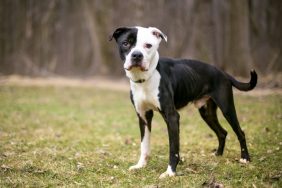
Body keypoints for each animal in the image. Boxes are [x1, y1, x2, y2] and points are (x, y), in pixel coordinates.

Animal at [109, 26, 258, 178]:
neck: (145, 78)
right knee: (222, 132)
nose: (137, 55)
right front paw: (140, 166)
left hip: (227, 108)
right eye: (126, 43)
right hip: (207, 113)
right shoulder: (143, 116)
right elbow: (144, 145)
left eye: (148, 45)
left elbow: (173, 148)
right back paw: (218, 155)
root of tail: (223, 72)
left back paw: (245, 158)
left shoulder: (172, 116)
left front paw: (170, 172)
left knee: (240, 132)